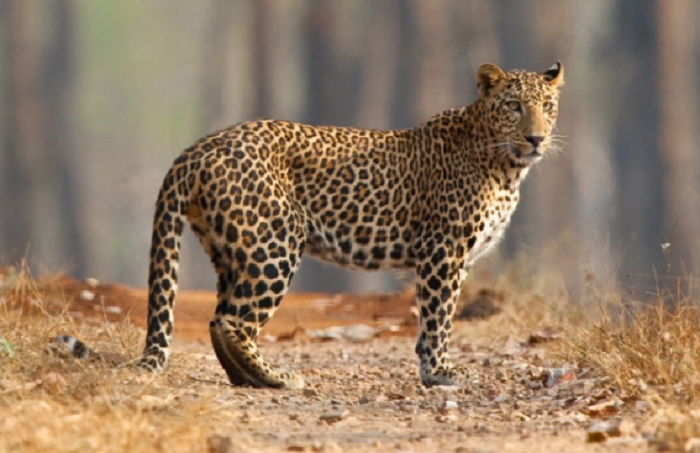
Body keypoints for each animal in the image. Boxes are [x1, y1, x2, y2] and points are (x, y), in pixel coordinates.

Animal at [56, 61, 564, 389]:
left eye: (548, 106)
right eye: (514, 106)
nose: (536, 138)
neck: (505, 165)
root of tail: (198, 148)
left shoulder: (447, 258)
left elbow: (429, 322)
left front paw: (429, 371)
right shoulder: (443, 252)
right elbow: (439, 318)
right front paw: (440, 373)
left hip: (230, 248)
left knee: (220, 320)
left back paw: (250, 380)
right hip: (274, 244)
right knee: (234, 322)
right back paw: (278, 379)